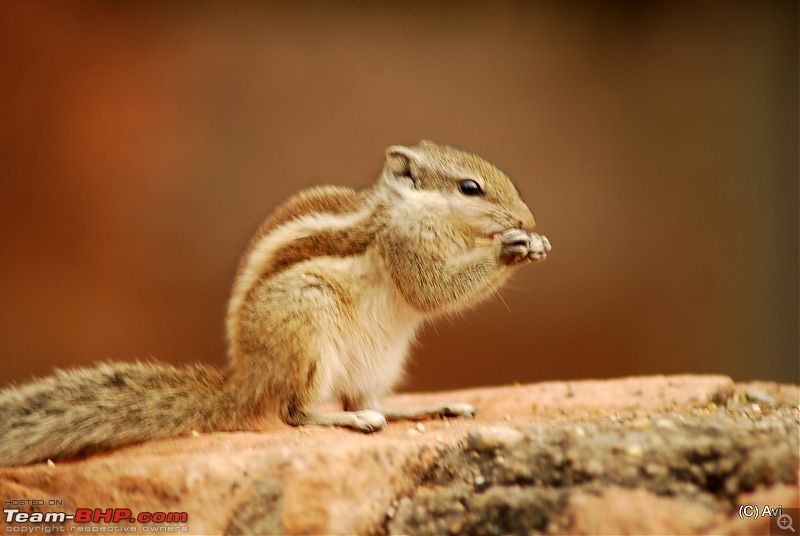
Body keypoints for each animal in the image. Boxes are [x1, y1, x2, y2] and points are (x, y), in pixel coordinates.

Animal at [0, 141, 552, 464]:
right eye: (470, 187)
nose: (527, 219)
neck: (408, 211)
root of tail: (249, 379)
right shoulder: (405, 249)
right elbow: (432, 290)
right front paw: (512, 247)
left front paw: (534, 242)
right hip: (309, 327)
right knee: (297, 413)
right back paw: (351, 421)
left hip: (381, 361)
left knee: (362, 399)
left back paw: (424, 408)